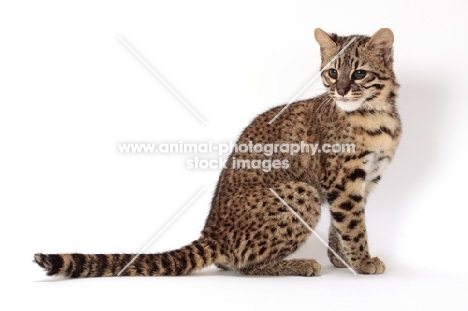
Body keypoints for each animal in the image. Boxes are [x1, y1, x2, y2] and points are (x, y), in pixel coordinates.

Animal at [35, 28, 402, 278]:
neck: (376, 115)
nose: (340, 90)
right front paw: (362, 261)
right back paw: (300, 264)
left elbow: (343, 226)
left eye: (359, 73)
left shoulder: (364, 181)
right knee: (243, 264)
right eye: (331, 72)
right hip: (300, 193)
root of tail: (211, 232)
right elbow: (353, 225)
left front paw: (343, 260)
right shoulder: (343, 181)